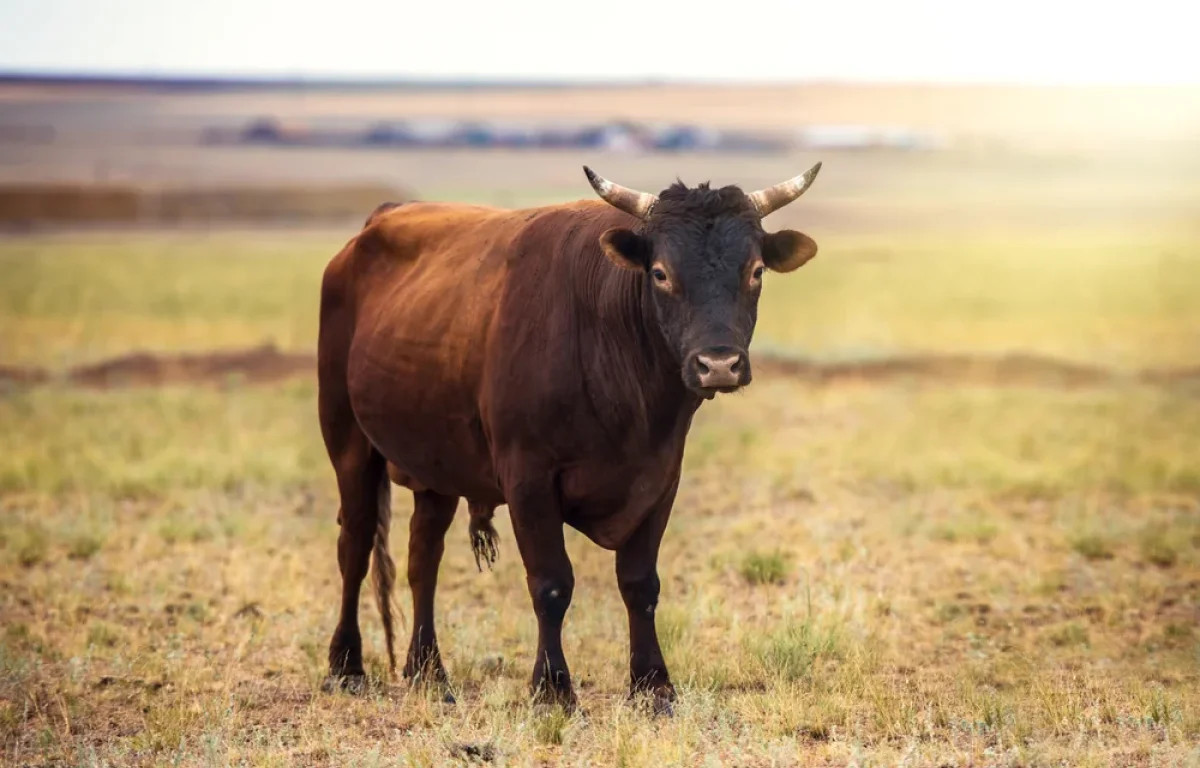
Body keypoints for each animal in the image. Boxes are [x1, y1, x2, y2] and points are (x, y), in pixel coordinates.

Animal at [319, 163, 825, 715]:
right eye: (661, 273)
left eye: (755, 271)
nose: (718, 365)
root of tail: (372, 227)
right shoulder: (529, 480)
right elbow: (552, 584)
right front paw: (552, 688)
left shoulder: (660, 479)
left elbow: (640, 583)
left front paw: (653, 684)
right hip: (348, 443)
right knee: (354, 545)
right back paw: (346, 665)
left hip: (437, 467)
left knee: (422, 557)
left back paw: (428, 671)